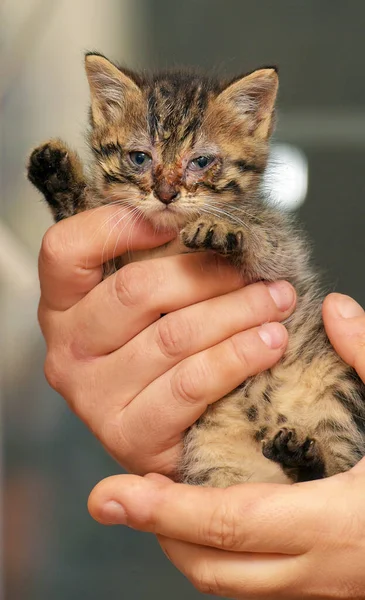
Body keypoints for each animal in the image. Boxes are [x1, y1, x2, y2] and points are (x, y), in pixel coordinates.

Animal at [27, 52, 364, 488]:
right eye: (140, 158)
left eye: (201, 162)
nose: (166, 194)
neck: (170, 238)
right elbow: (81, 212)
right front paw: (57, 173)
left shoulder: (285, 256)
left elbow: (264, 241)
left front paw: (222, 229)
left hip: (336, 385)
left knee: (333, 470)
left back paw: (302, 456)